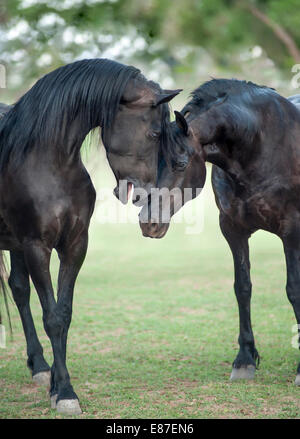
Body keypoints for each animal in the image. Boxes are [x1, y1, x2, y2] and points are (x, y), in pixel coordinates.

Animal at [0, 59, 188, 416]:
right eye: (155, 133)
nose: (146, 195)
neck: (49, 165)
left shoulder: (75, 246)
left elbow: (64, 313)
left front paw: (58, 386)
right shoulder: (36, 247)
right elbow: (52, 317)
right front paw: (65, 392)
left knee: (18, 288)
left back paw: (39, 365)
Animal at [140, 79, 300, 384]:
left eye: (180, 163)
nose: (148, 221)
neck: (260, 144)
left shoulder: (292, 231)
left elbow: (294, 289)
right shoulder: (233, 230)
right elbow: (242, 288)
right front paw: (245, 360)